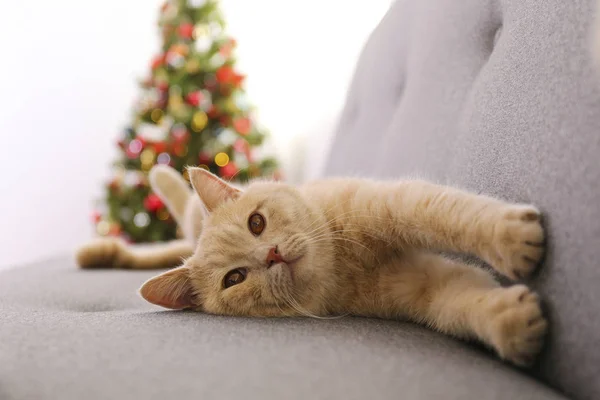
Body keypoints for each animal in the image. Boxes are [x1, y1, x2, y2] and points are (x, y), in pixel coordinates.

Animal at [76, 164, 548, 368]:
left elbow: (450, 214)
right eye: (234, 278)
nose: (271, 255)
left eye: (257, 222)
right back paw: (97, 253)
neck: (340, 264)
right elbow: (458, 302)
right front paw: (511, 321)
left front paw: (509, 236)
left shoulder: (395, 203)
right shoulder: (419, 286)